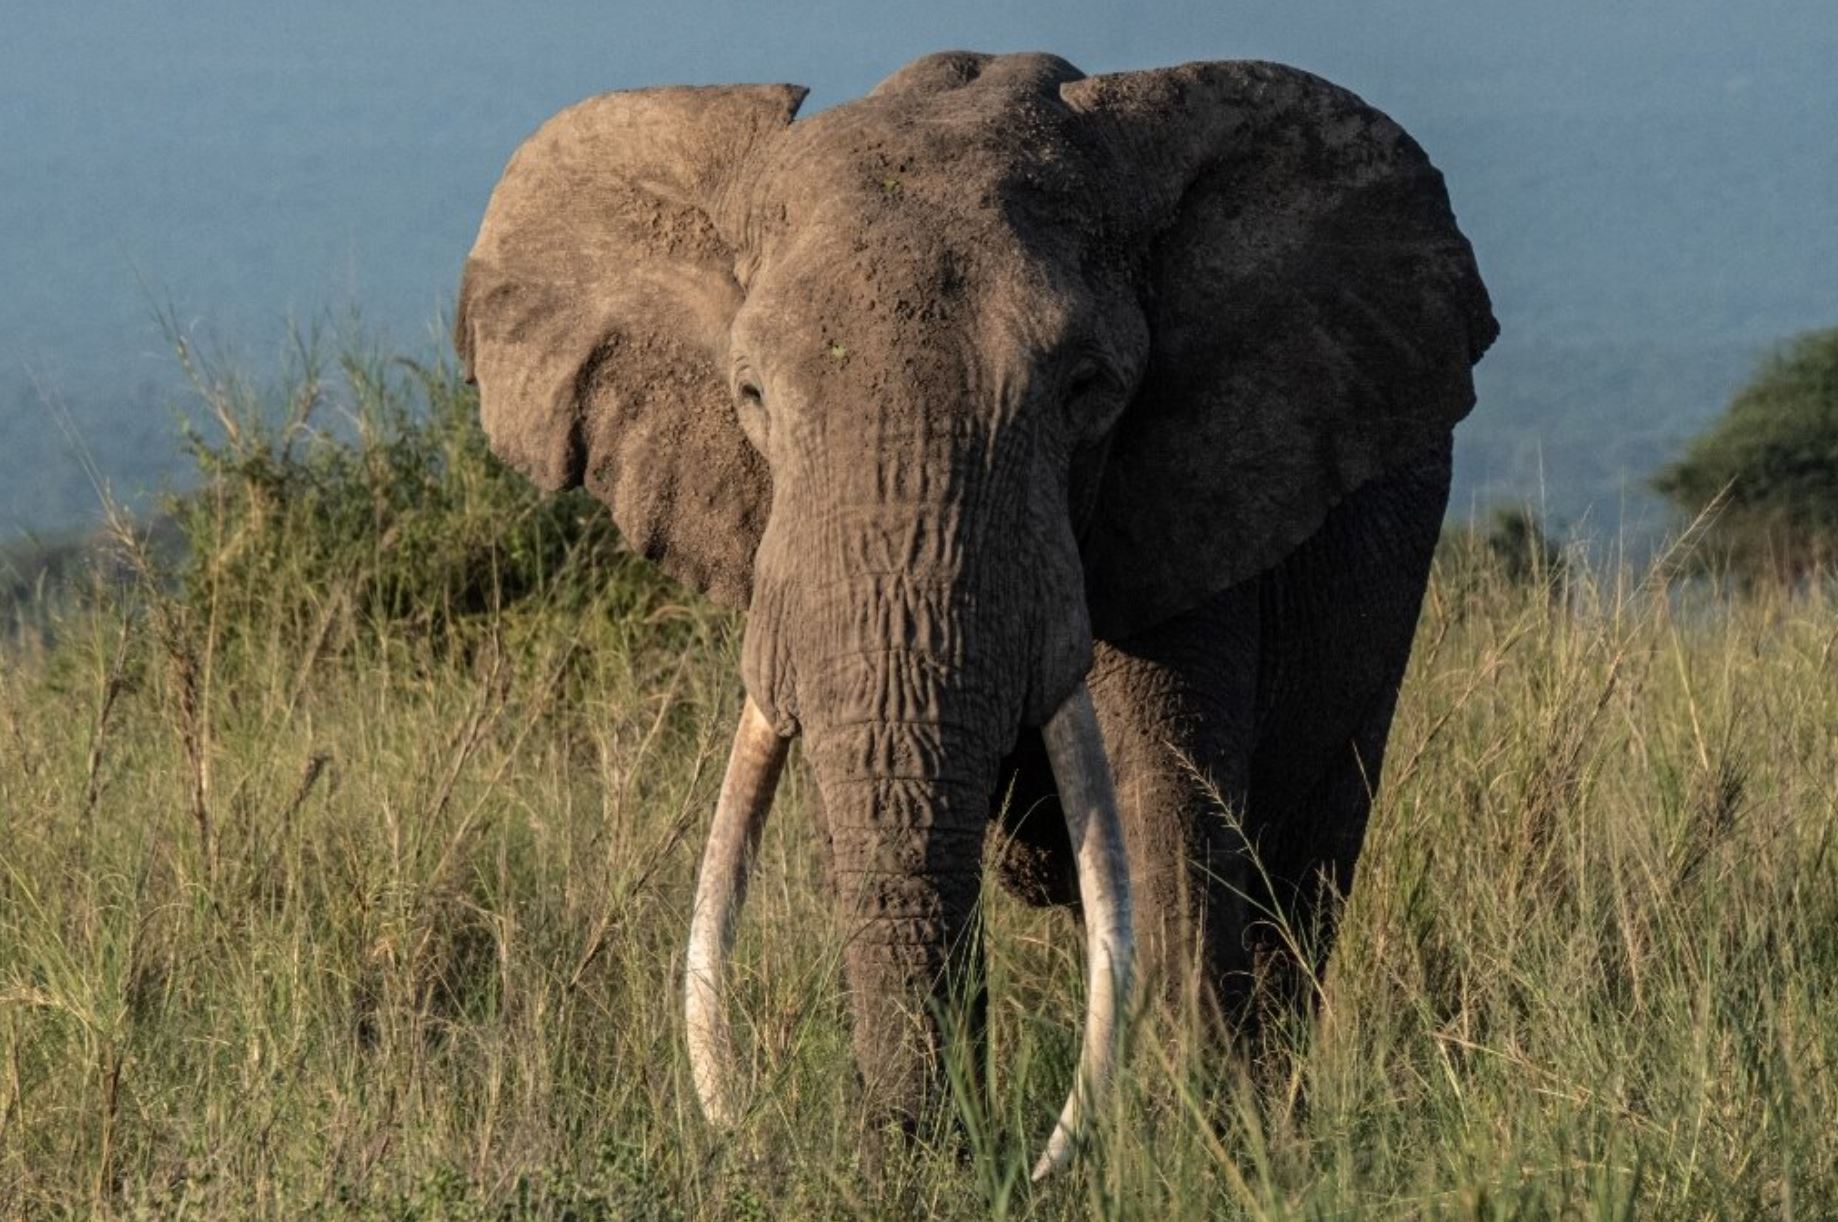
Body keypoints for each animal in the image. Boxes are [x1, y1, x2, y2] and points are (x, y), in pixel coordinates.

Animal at [454, 50, 1495, 1176]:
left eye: (1086, 389)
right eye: (751, 396)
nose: (910, 1152)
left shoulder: (1190, 488)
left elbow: (1161, 804)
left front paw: (1181, 1153)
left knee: (1302, 864)